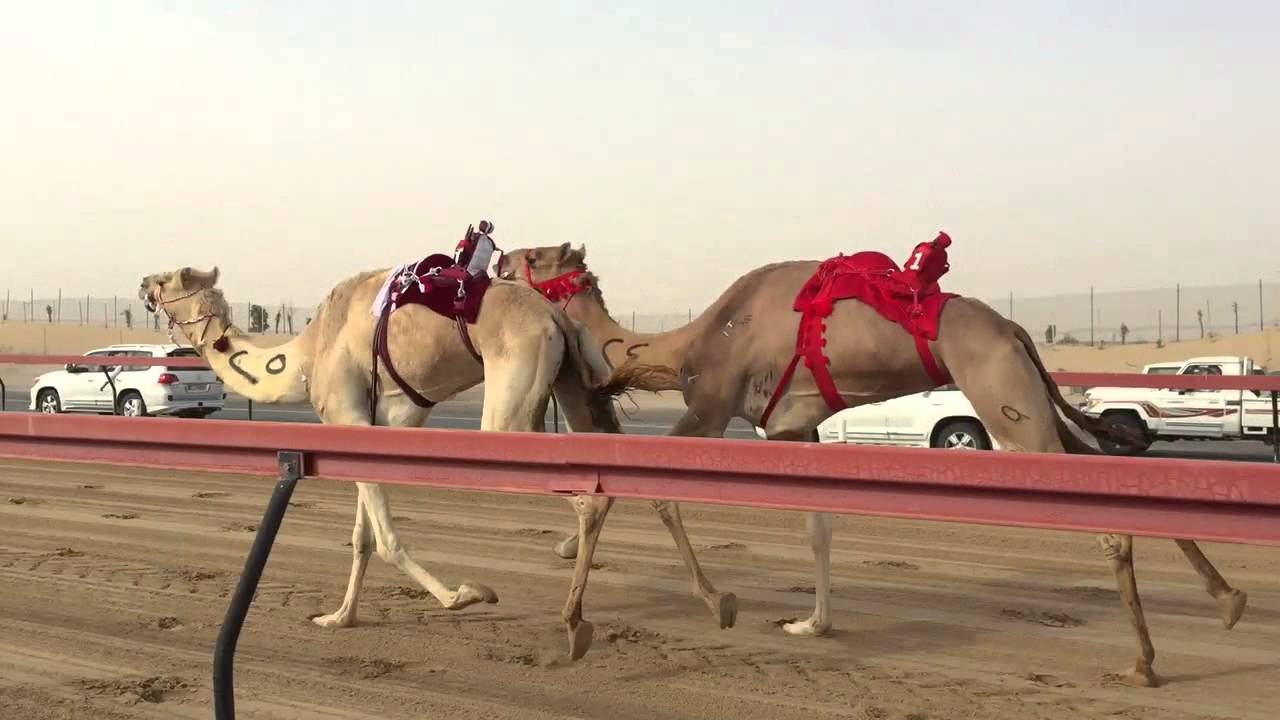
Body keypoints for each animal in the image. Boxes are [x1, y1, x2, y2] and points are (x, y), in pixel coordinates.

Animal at [137, 234, 724, 660]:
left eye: (166, 278)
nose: (142, 283)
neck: (303, 357)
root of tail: (555, 316)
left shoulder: (347, 415)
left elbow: (386, 539)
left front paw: (465, 595)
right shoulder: (387, 420)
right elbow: (363, 538)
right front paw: (339, 617)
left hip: (510, 410)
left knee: (589, 497)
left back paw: (576, 622)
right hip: (575, 388)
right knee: (636, 477)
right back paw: (717, 601)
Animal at [498, 235, 1249, 687]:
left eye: (533, 254)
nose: (497, 259)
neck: (687, 344)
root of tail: (1014, 329)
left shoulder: (711, 406)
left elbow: (648, 488)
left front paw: (593, 616)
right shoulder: (791, 429)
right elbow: (818, 527)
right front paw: (811, 623)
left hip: (1004, 396)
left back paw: (1146, 663)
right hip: (1022, 396)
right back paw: (1228, 600)